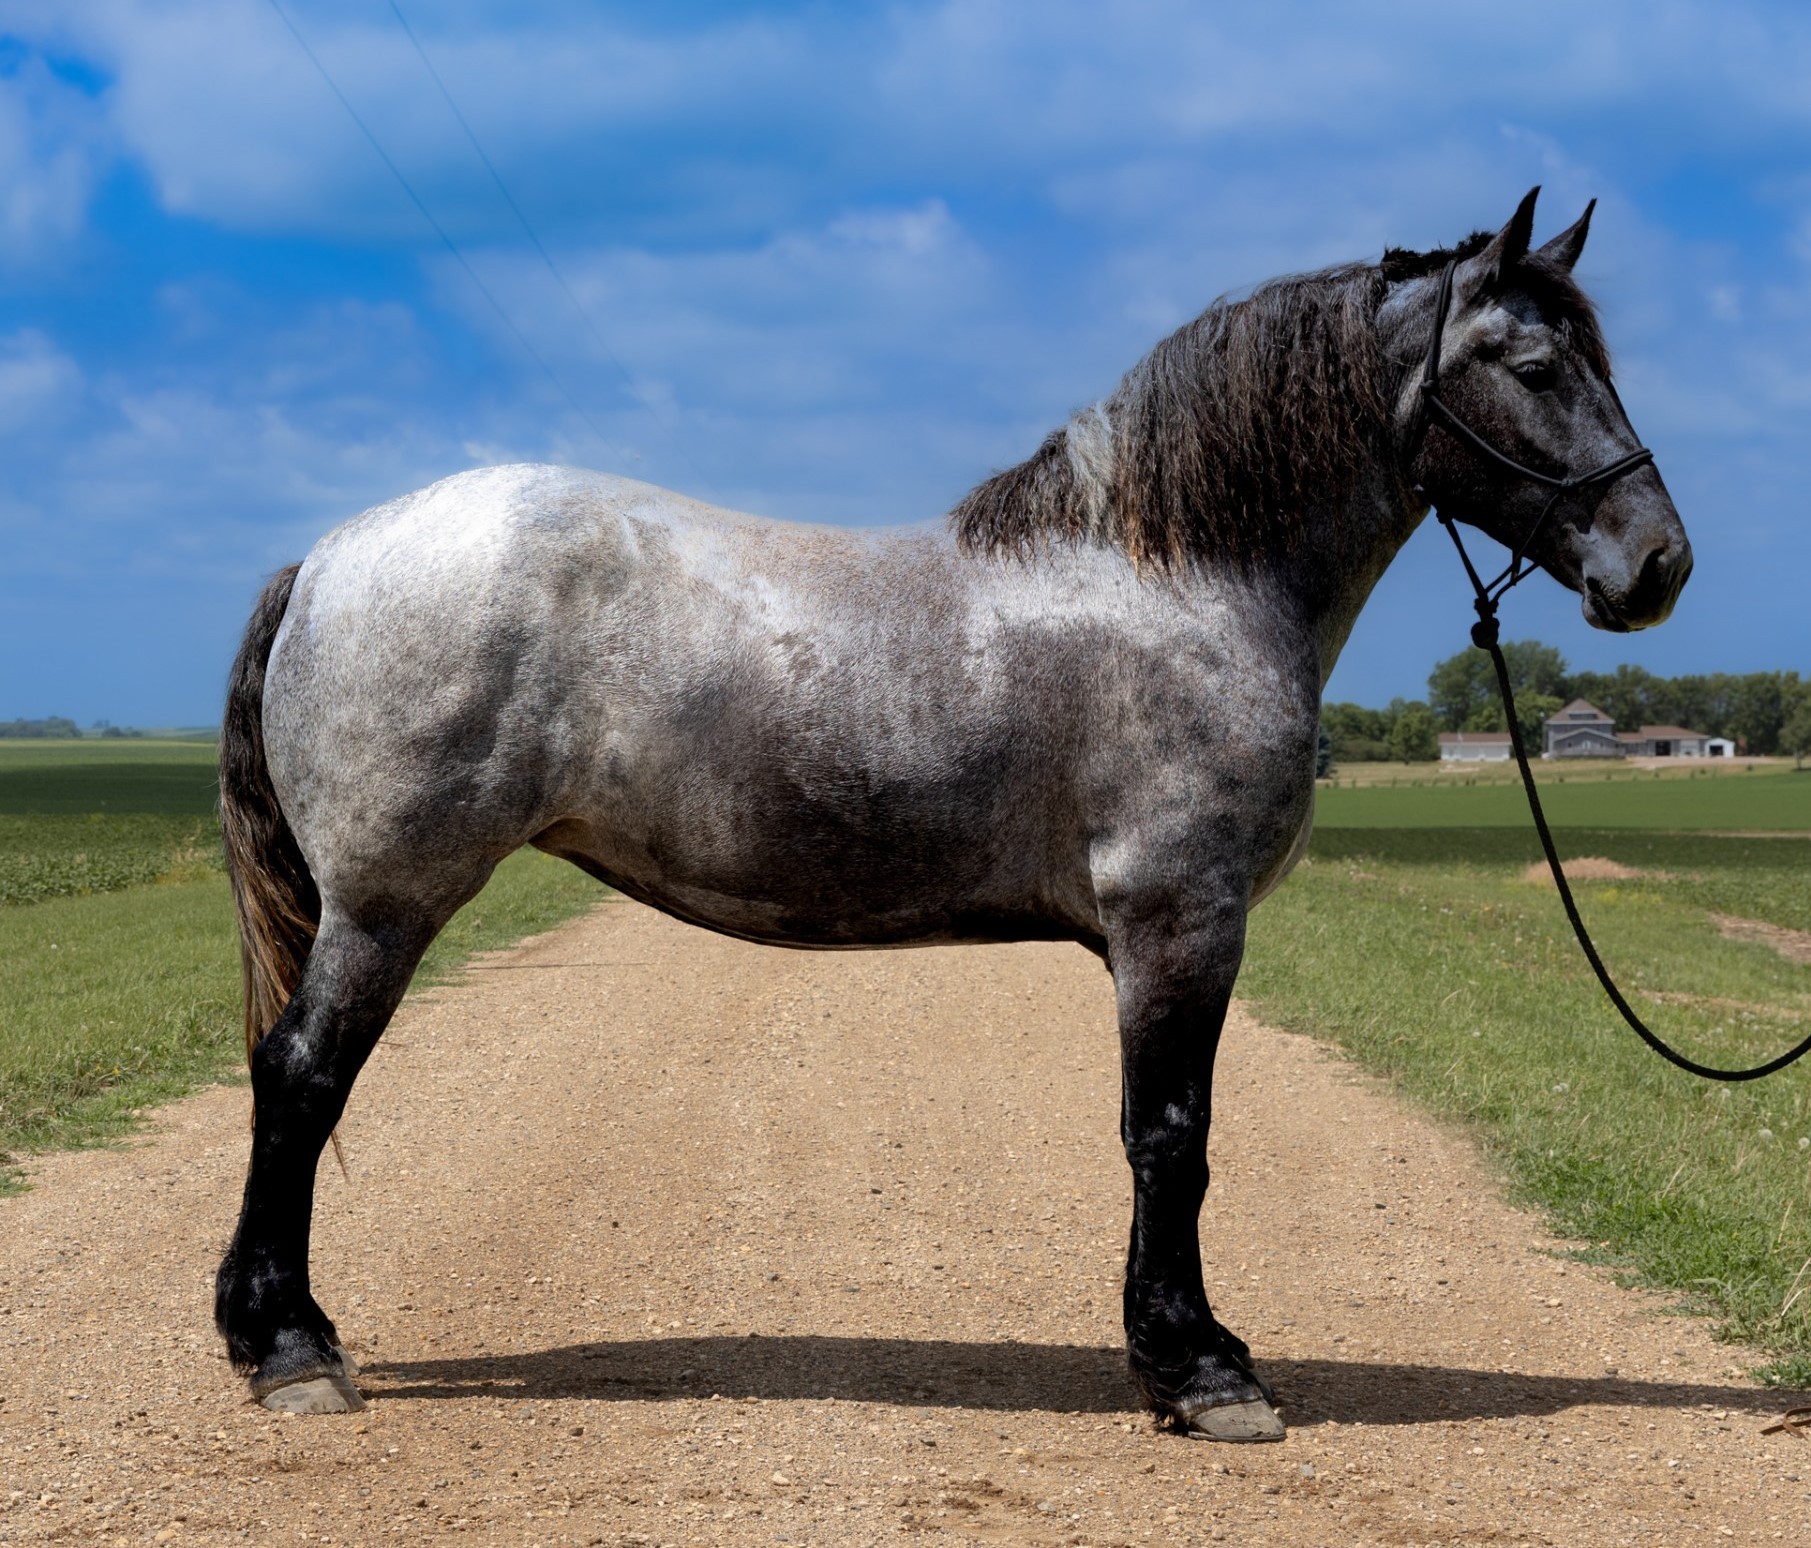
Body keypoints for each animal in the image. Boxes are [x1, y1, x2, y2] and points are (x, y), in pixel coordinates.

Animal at [214, 188, 1689, 1439]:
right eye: (1532, 365)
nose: (1657, 564)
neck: (1179, 578)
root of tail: (329, 557)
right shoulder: (1178, 920)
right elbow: (1170, 1138)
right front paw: (1200, 1370)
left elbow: (1163, 1139)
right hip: (386, 904)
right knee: (300, 1079)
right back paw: (290, 1351)